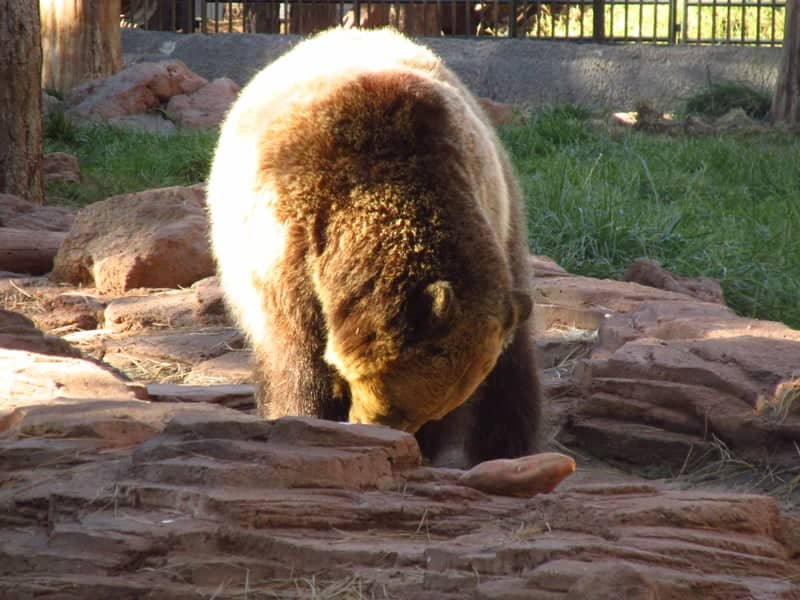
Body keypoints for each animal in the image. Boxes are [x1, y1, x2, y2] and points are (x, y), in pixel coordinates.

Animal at [206, 28, 543, 467]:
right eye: (392, 404)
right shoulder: (286, 249)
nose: (375, 427)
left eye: (423, 412)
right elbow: (296, 356)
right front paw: (305, 419)